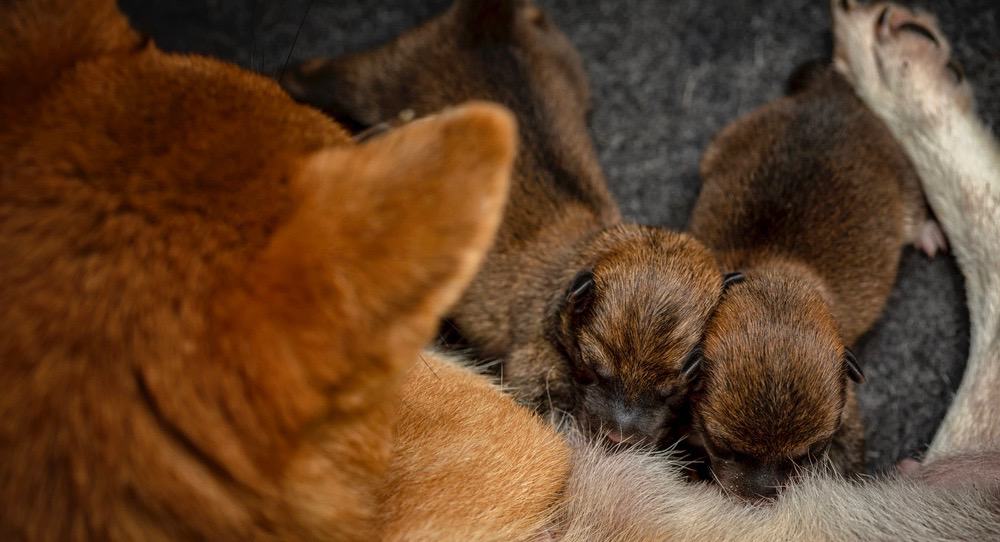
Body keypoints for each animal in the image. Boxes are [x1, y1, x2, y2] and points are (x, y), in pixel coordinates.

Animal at [286, 0, 724, 448]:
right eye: (593, 370)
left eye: (673, 389)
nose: (619, 439)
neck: (578, 261)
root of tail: (487, 15)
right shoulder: (533, 360)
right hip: (378, 76)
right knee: (322, 72)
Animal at [688, 36, 936, 502]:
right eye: (724, 447)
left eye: (809, 453)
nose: (763, 497)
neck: (774, 276)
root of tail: (828, 93)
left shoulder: (847, 408)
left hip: (901, 171)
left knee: (915, 210)